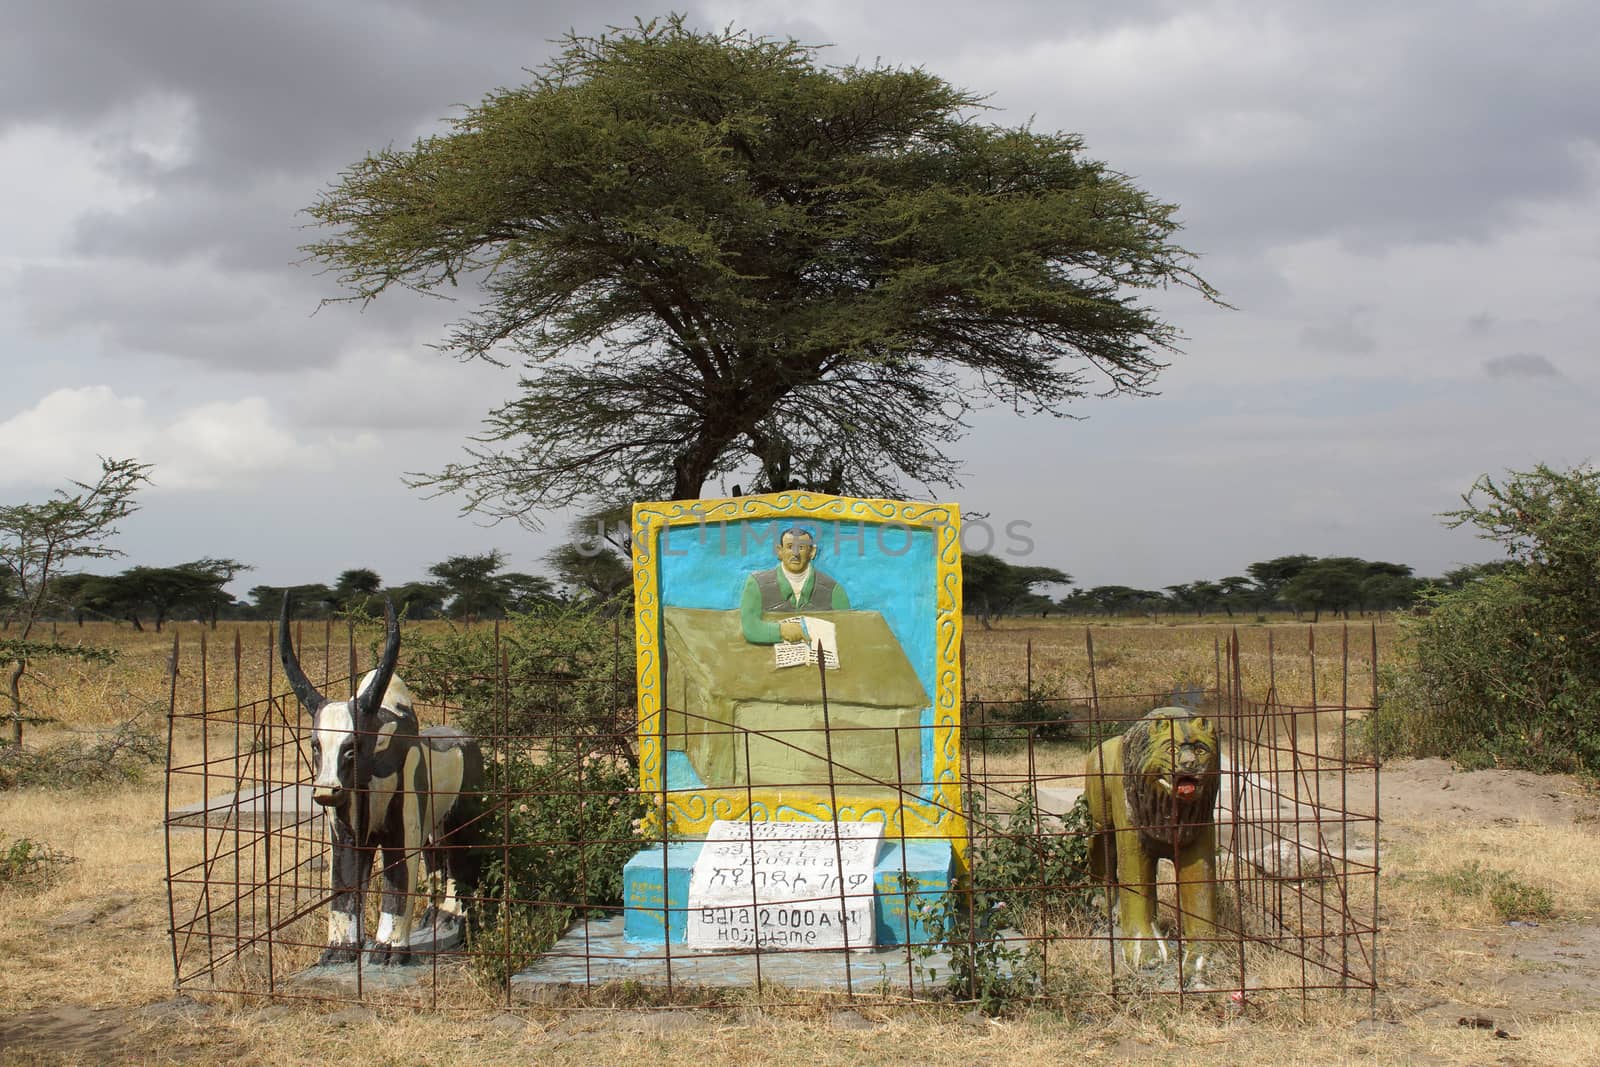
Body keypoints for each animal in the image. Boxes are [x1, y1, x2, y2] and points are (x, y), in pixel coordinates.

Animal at [281, 598, 483, 972]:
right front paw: (340, 949)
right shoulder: (346, 834)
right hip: (432, 826)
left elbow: (398, 882)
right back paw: (433, 916)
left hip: (460, 819)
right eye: (315, 745)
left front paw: (389, 949)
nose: (326, 792)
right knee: (437, 861)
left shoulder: (400, 832)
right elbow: (344, 886)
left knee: (460, 863)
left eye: (354, 747)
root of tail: (464, 738)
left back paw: (455, 917)